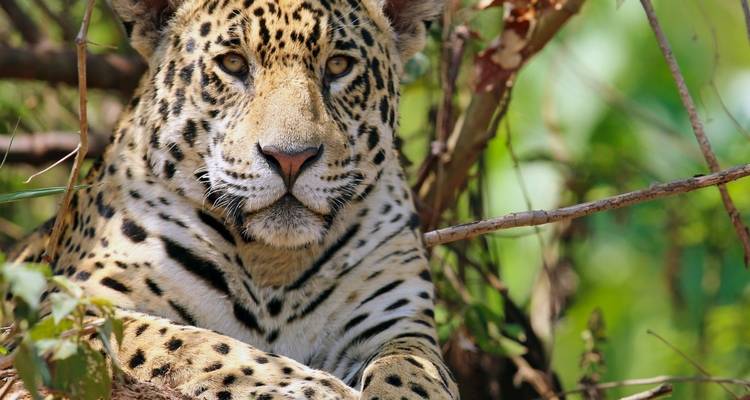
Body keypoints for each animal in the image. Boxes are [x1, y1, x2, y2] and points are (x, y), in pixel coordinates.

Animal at [9, 0, 460, 399]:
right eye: (233, 64)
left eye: (338, 66)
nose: (291, 158)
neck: (274, 263)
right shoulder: (63, 314)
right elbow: (198, 345)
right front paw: (308, 387)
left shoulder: (397, 324)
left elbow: (411, 366)